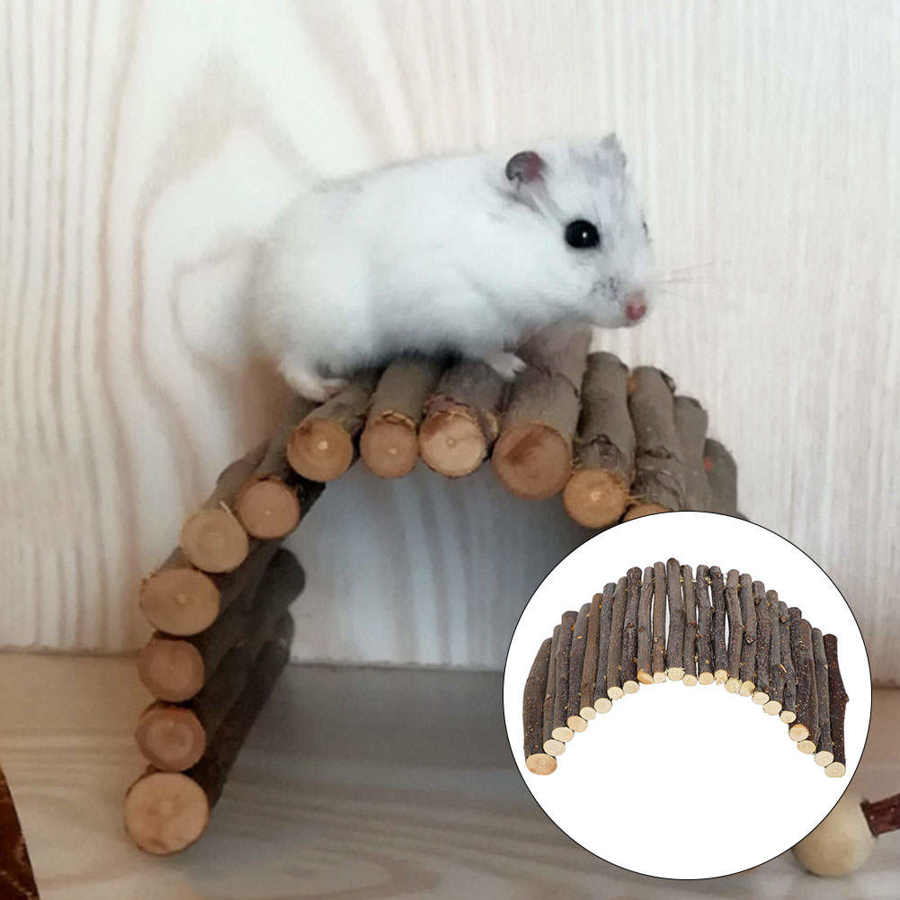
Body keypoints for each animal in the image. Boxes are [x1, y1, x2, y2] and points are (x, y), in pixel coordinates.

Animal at [252, 135, 653, 400]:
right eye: (580, 234)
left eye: (645, 225)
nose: (640, 311)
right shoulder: (465, 314)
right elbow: (483, 350)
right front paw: (514, 367)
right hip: (314, 326)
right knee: (292, 364)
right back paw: (327, 389)